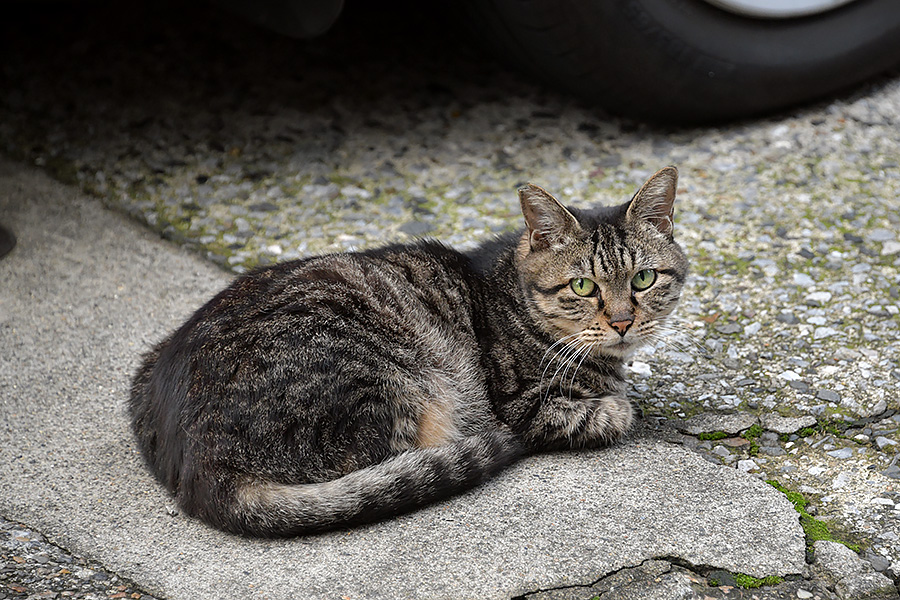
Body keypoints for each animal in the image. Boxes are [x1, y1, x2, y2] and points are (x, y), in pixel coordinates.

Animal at [128, 166, 688, 536]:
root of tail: (198, 464)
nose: (622, 321)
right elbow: (611, 412)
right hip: (395, 384)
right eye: (583, 287)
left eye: (643, 279)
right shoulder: (526, 405)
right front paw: (618, 405)